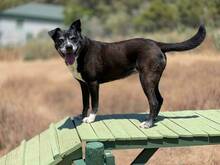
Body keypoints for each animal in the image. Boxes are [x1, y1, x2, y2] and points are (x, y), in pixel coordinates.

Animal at [48, 19, 206, 127]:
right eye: (60, 40)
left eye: (73, 39)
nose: (68, 47)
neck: (81, 51)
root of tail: (156, 43)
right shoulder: (83, 85)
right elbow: (85, 103)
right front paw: (81, 116)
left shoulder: (93, 83)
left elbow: (94, 103)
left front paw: (91, 119)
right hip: (153, 79)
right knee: (160, 99)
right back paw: (153, 119)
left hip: (146, 79)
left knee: (154, 101)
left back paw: (148, 123)